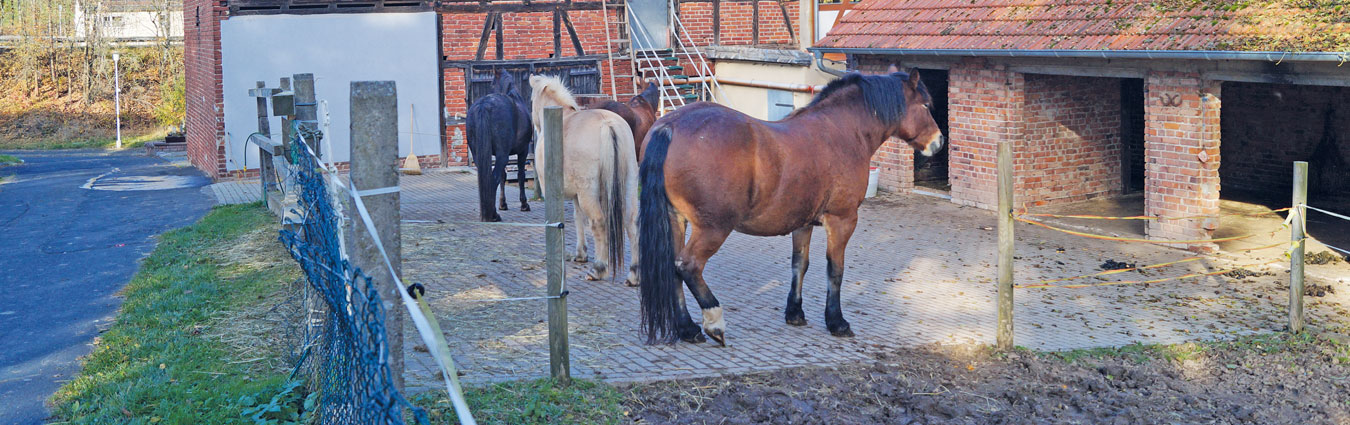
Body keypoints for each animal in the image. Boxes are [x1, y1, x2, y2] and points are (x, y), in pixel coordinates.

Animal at [467, 70, 534, 221]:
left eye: (491, 83)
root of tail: (484, 105)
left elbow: (504, 176)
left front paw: (503, 204)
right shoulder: (523, 151)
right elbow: (521, 175)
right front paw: (524, 204)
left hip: (480, 155)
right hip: (504, 155)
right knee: (493, 179)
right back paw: (493, 215)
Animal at [529, 75, 639, 286]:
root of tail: (608, 125)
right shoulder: (577, 196)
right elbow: (577, 218)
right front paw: (581, 254)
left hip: (589, 194)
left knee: (598, 222)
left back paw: (598, 269)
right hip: (628, 186)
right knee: (631, 224)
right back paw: (633, 275)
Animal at [637, 67, 945, 345]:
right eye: (925, 105)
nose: (939, 142)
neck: (841, 131)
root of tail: (670, 126)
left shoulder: (803, 222)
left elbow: (800, 265)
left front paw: (795, 313)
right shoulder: (842, 220)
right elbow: (835, 270)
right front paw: (836, 321)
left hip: (675, 220)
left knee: (672, 268)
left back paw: (688, 328)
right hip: (713, 228)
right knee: (688, 265)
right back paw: (714, 322)